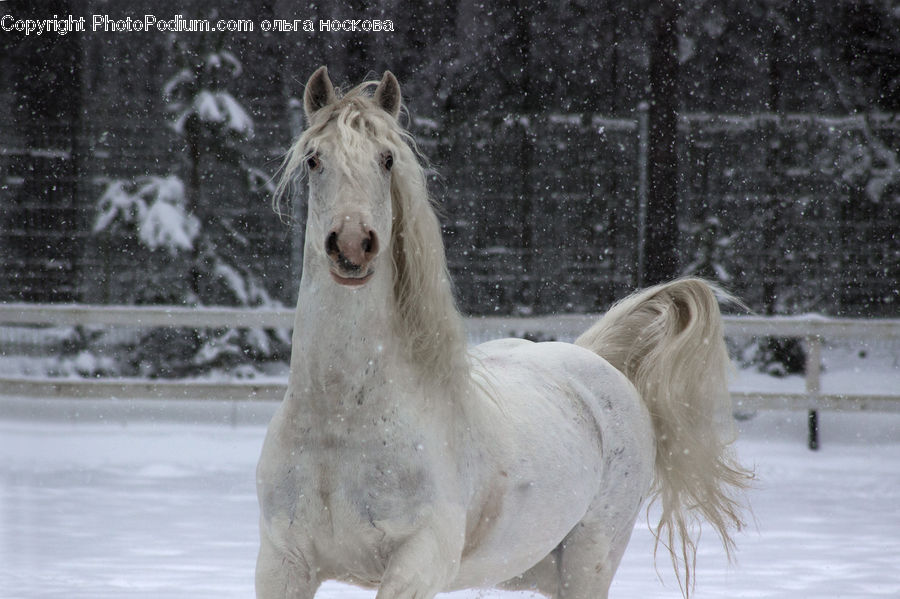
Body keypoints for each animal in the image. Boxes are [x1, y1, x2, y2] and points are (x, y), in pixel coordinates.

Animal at [256, 66, 752, 599]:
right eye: (314, 159)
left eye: (386, 159)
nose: (352, 246)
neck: (340, 420)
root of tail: (596, 360)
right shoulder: (282, 563)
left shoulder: (417, 565)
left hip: (589, 564)